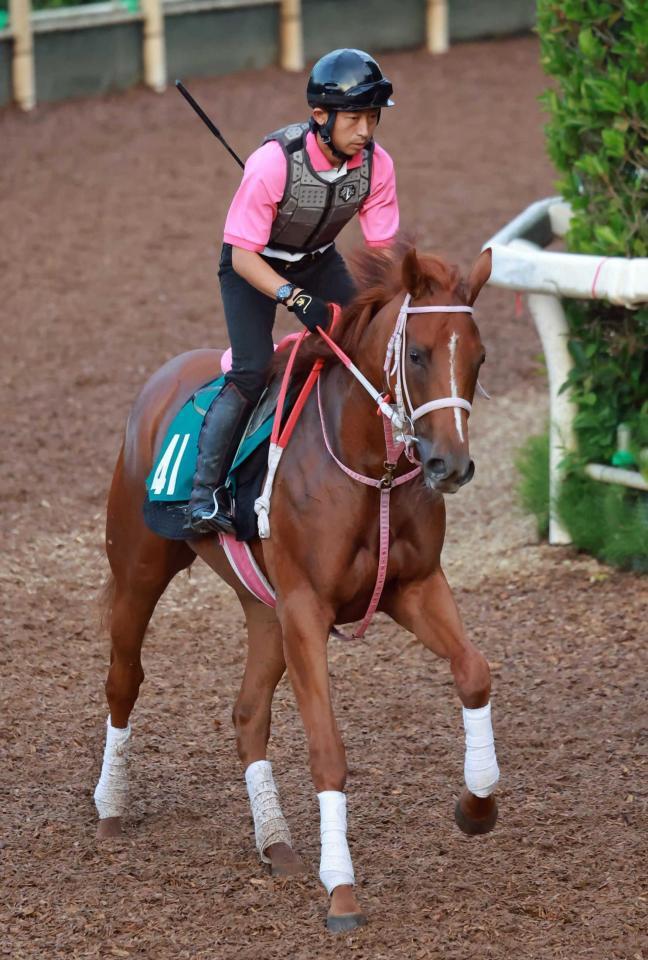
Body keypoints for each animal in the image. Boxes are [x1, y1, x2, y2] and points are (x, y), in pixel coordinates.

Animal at [96, 244, 498, 932]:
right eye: (418, 354)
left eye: (477, 356)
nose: (450, 465)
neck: (371, 470)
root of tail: (166, 376)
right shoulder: (308, 608)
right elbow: (327, 748)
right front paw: (341, 888)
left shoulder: (413, 586)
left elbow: (473, 672)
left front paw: (477, 808)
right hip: (140, 571)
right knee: (125, 678)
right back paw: (111, 806)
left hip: (266, 608)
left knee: (247, 712)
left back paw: (276, 842)